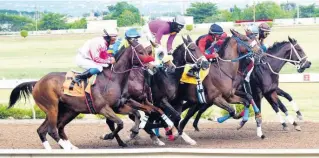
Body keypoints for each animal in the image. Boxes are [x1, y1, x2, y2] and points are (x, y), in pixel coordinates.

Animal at [7, 39, 156, 149]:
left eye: (146, 51)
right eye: (141, 52)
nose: (154, 67)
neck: (113, 78)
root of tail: (38, 82)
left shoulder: (118, 106)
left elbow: (136, 114)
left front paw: (134, 132)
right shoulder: (103, 108)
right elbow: (120, 123)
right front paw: (107, 136)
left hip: (67, 111)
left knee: (45, 129)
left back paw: (68, 147)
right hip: (52, 108)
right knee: (52, 130)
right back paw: (67, 148)